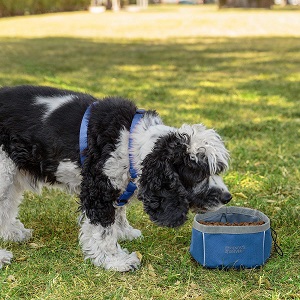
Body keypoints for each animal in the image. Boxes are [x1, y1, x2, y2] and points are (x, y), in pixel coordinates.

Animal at [0, 85, 232, 270]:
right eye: (198, 173)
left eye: (216, 170)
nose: (227, 197)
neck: (132, 142)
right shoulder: (98, 188)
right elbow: (103, 228)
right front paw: (115, 260)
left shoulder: (118, 184)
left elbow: (118, 212)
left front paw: (123, 232)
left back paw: (12, 233)